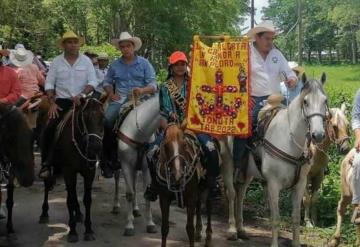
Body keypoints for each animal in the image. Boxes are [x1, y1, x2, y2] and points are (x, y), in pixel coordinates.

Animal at [0, 103, 34, 234]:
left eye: (32, 135)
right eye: (9, 137)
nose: (28, 179)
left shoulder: (11, 173)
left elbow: (10, 201)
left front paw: (10, 226)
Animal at [113, 96, 160, 235]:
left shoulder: (146, 167)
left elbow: (146, 193)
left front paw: (150, 224)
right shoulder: (126, 165)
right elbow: (129, 193)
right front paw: (129, 225)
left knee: (133, 183)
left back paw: (136, 209)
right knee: (117, 179)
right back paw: (116, 206)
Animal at [233, 74, 330, 247]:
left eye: (325, 100)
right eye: (305, 101)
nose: (318, 134)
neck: (289, 141)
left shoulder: (300, 184)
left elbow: (295, 217)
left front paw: (296, 243)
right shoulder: (273, 184)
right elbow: (276, 218)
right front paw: (274, 244)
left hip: (248, 173)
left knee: (241, 193)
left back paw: (241, 230)